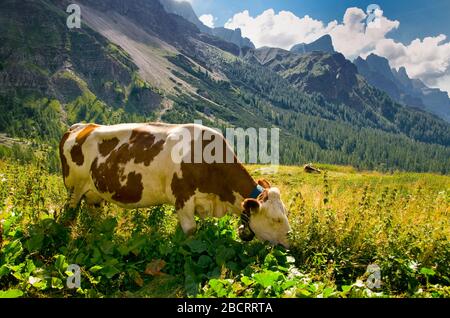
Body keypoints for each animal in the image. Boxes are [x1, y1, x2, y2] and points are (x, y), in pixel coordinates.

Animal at [59, 121, 292, 246]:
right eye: (276, 219)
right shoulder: (183, 197)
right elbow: (190, 231)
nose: (290, 239)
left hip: (94, 194)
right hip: (74, 189)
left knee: (95, 217)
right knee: (69, 215)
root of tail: (81, 126)